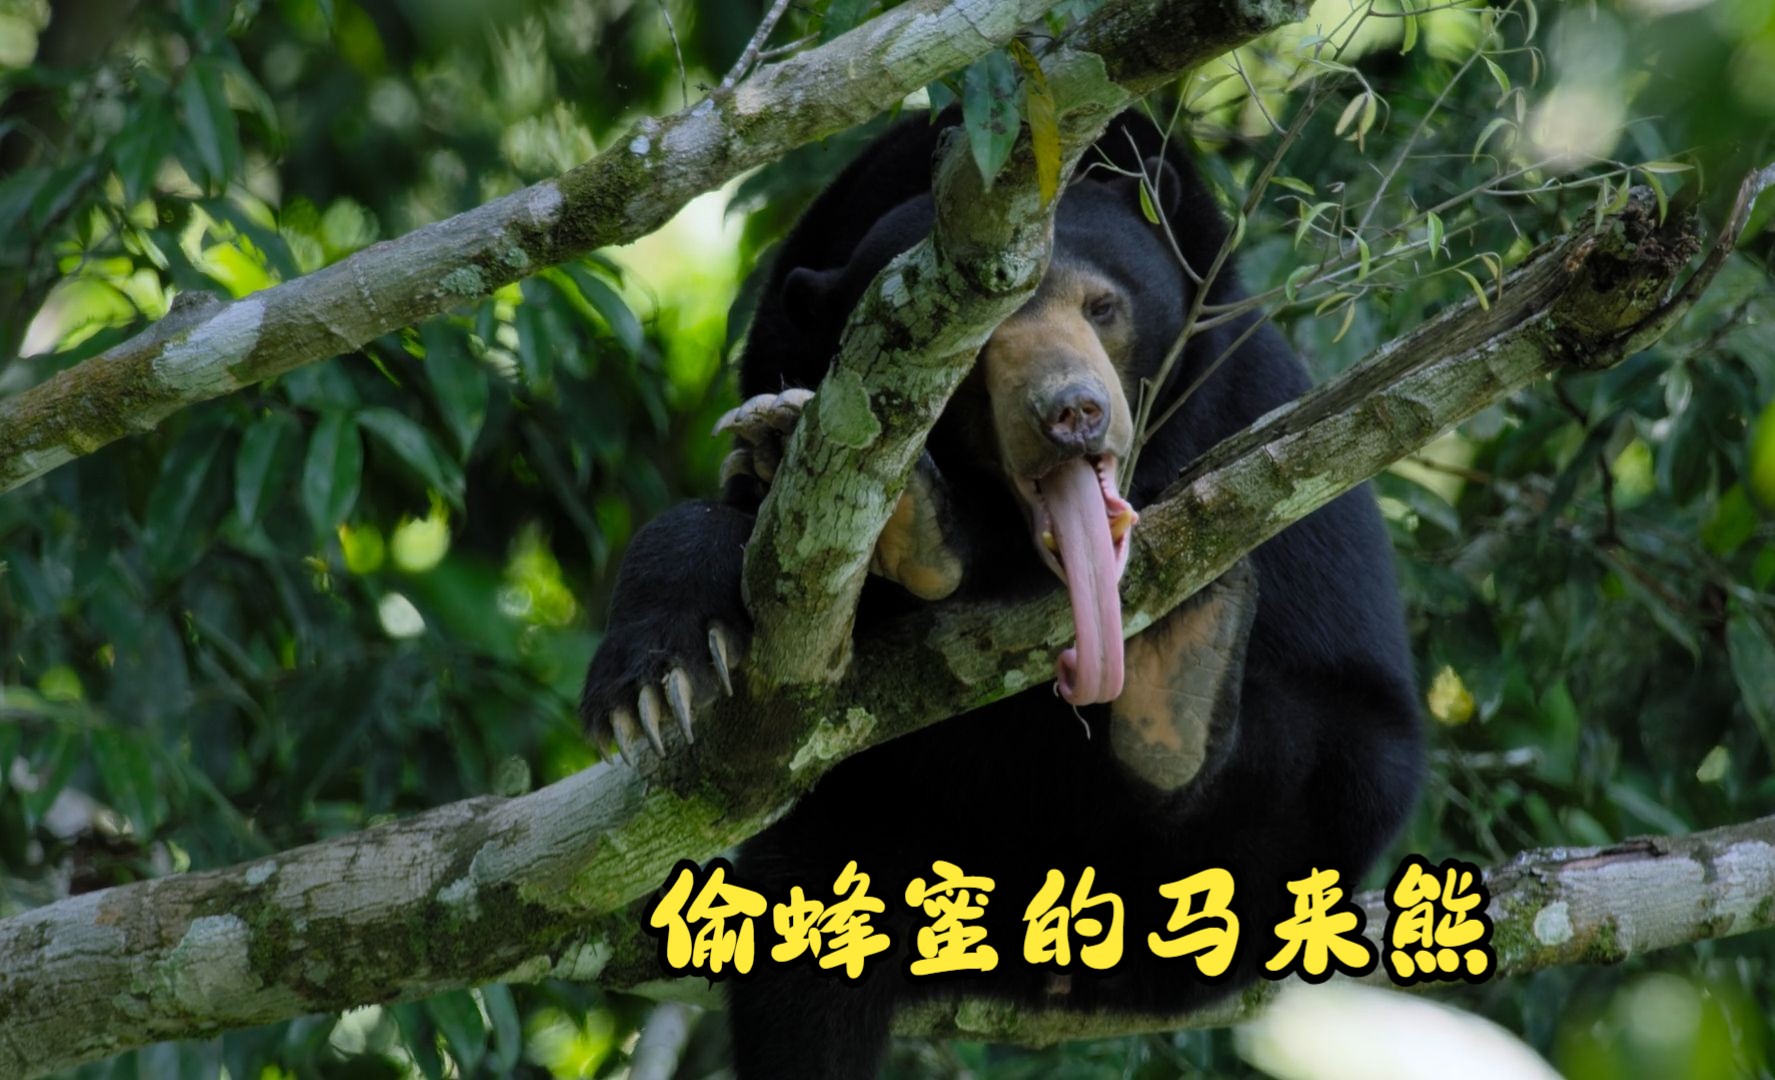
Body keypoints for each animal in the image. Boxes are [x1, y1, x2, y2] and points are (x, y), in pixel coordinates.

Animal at [579, 109, 1424, 1078]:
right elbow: (738, 521)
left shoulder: (1254, 407)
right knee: (811, 941)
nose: (1072, 412)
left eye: (1102, 307)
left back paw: (1178, 680)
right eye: (973, 348)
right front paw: (652, 683)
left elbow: (1359, 710)